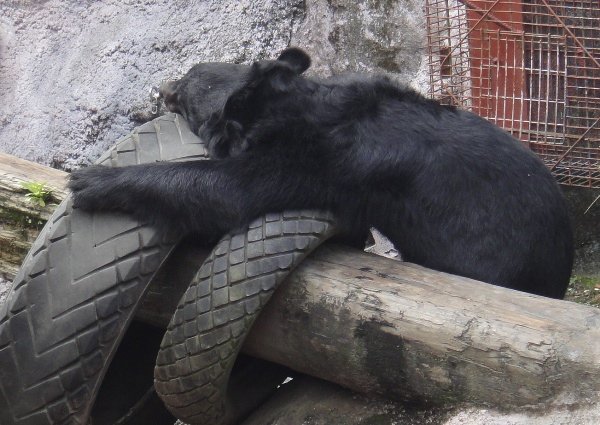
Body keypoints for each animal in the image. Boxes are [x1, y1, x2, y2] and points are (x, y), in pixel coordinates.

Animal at [68, 47, 576, 298]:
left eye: (186, 88)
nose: (162, 87)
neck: (282, 103)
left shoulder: (316, 163)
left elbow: (228, 190)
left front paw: (90, 181)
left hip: (487, 257)